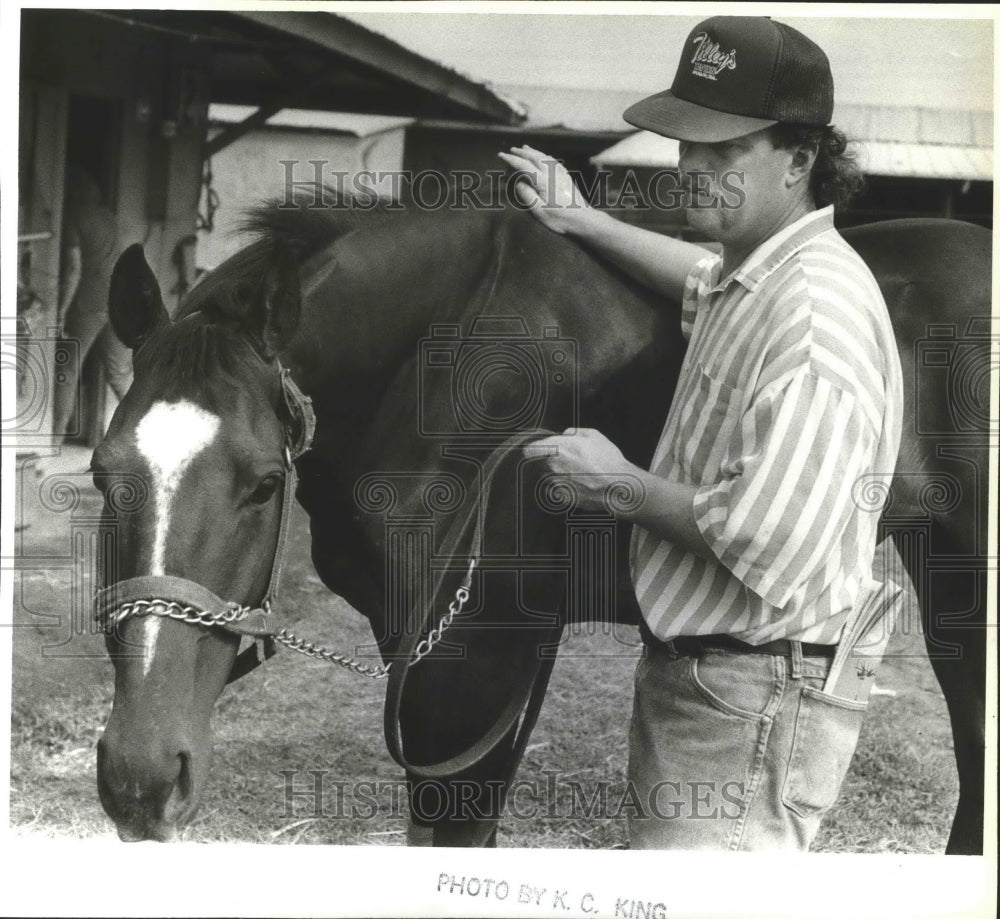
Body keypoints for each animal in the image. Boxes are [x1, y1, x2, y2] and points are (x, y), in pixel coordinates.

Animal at [92, 196, 992, 856]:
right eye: (105, 472)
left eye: (264, 482)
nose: (141, 775)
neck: (437, 362)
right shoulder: (415, 634)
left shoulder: (486, 649)